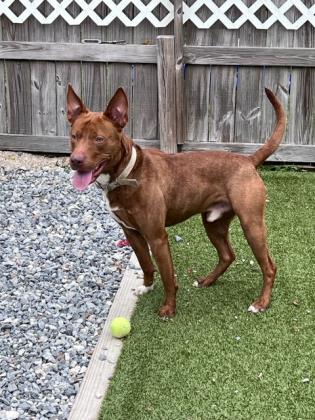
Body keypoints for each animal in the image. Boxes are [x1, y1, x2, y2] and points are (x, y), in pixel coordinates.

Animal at [68, 87, 288, 318]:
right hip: (213, 223)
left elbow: (167, 277)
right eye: (74, 136)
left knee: (269, 267)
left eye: (99, 138)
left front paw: (169, 308)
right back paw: (208, 281)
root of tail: (248, 160)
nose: (75, 160)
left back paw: (261, 303)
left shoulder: (157, 237)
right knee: (227, 255)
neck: (128, 173)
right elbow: (146, 264)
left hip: (251, 225)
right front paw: (147, 286)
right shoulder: (132, 233)